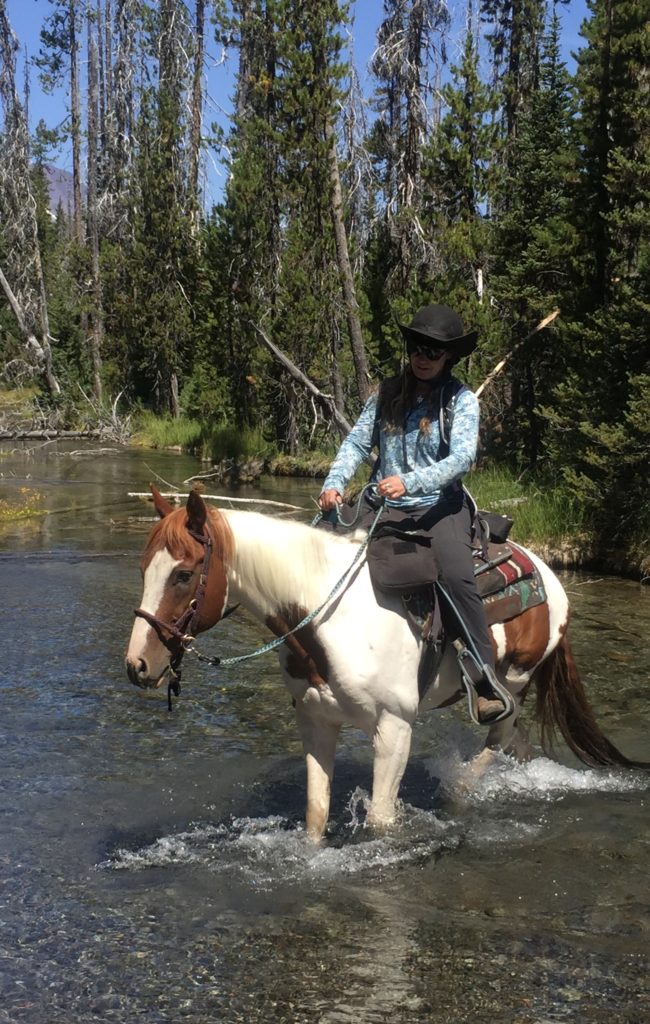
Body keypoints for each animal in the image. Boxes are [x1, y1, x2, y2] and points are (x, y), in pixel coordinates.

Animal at [126, 487, 642, 841]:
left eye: (184, 574)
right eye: (144, 568)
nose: (138, 665)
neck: (328, 617)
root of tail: (548, 574)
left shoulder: (395, 727)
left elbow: (381, 820)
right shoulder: (316, 720)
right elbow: (316, 813)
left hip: (515, 681)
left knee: (497, 737)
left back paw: (461, 790)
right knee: (518, 743)